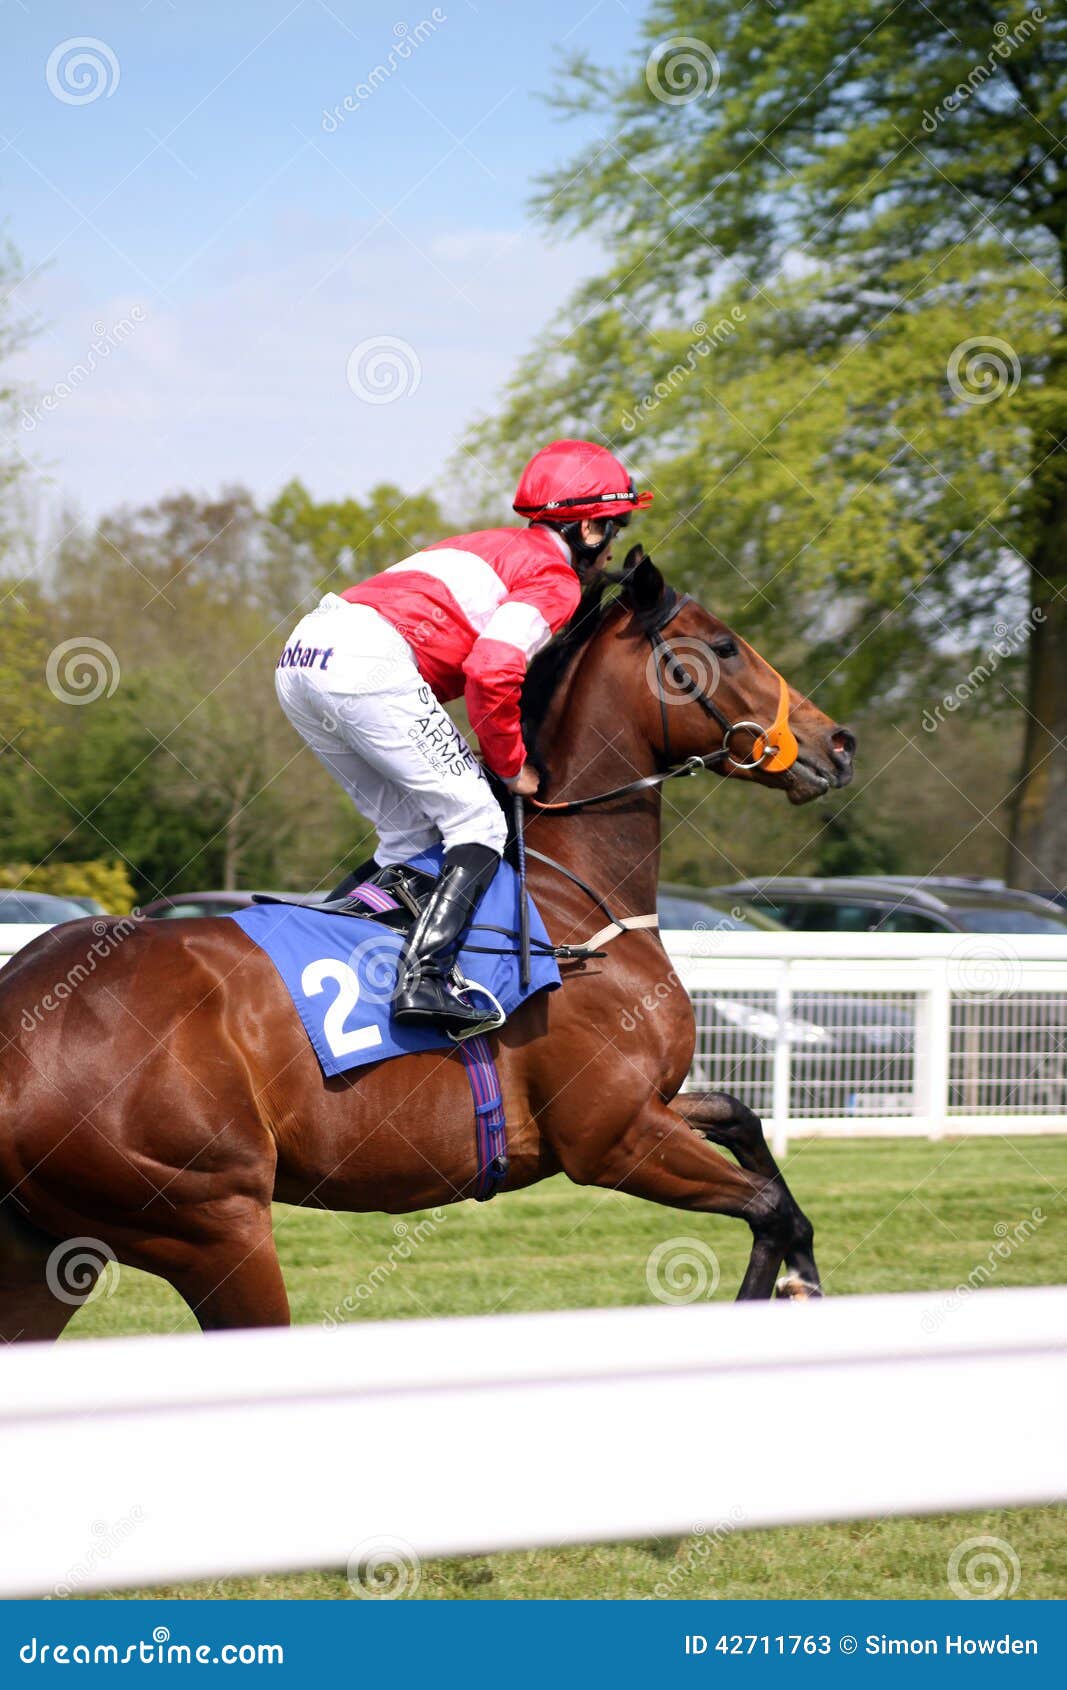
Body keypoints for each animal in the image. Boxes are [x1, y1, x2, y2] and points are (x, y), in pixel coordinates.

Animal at [0, 561, 855, 1338]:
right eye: (725, 646)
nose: (838, 742)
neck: (570, 902)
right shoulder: (611, 1140)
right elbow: (768, 1209)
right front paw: (788, 1290)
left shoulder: (648, 1103)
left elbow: (743, 1122)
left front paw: (804, 1272)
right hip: (213, 1224)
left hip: (54, 1252)